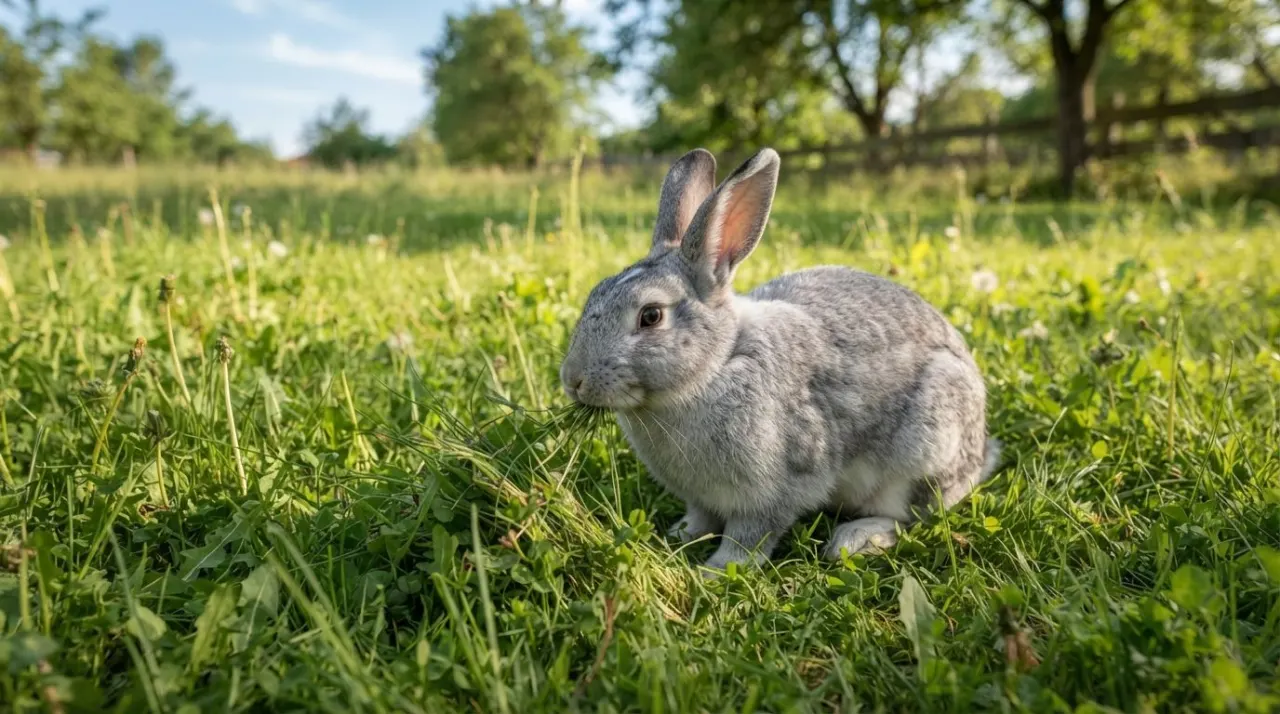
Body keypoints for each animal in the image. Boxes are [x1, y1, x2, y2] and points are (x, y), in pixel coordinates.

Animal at [559, 147, 1000, 573]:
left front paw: (716, 570)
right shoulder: (700, 497)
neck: (716, 367)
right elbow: (701, 517)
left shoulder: (775, 488)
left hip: (924, 451)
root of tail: (979, 455)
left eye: (651, 316)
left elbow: (750, 534)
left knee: (912, 515)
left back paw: (854, 539)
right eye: (594, 292)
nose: (572, 380)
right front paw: (681, 534)